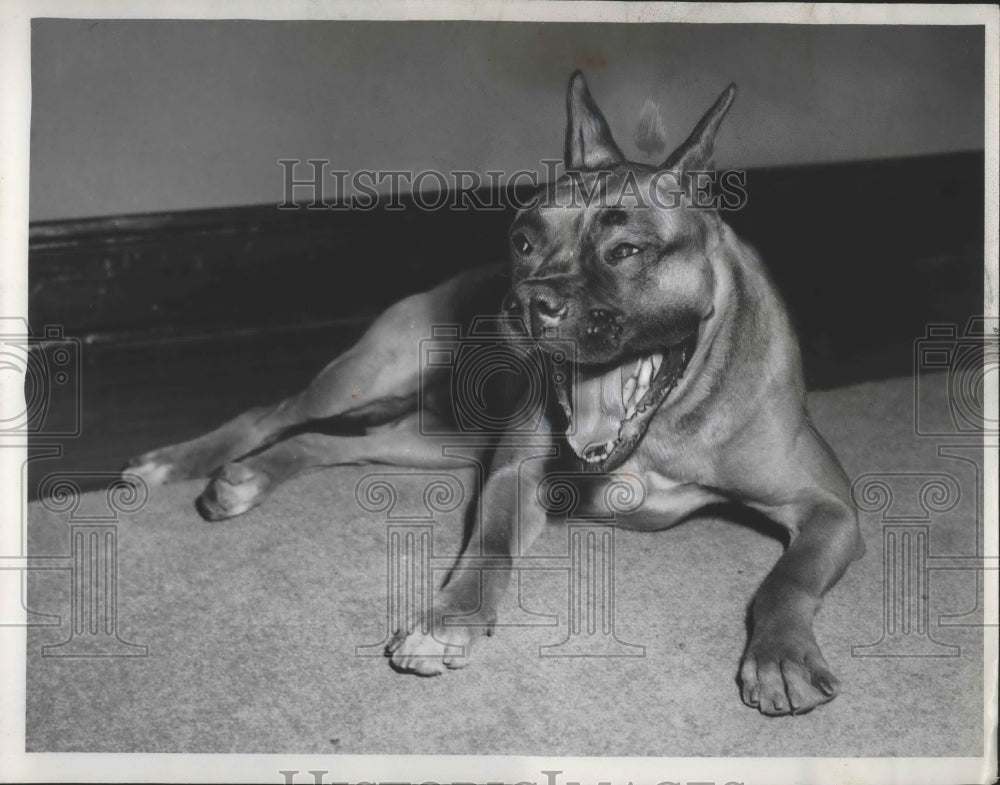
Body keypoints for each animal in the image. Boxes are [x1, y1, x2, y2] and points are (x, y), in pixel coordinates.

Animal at [127, 73, 860, 716]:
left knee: (327, 442)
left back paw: (249, 476)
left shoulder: (832, 508)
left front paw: (781, 653)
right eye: (523, 239)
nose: (528, 303)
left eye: (626, 250)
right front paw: (448, 618)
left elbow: (785, 581)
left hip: (436, 441)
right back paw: (187, 462)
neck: (666, 419)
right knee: (273, 413)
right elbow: (488, 548)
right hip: (371, 374)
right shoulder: (514, 477)